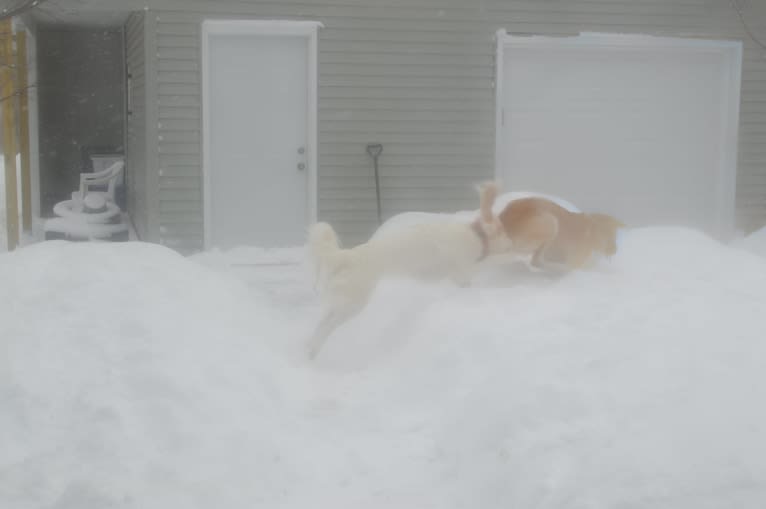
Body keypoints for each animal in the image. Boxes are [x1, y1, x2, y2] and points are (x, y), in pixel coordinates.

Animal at [306, 183, 510, 358]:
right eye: (504, 230)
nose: (510, 242)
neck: (475, 234)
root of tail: (349, 254)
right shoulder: (463, 271)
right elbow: (489, 264)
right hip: (352, 304)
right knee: (326, 326)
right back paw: (313, 350)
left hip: (346, 304)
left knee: (322, 324)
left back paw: (311, 351)